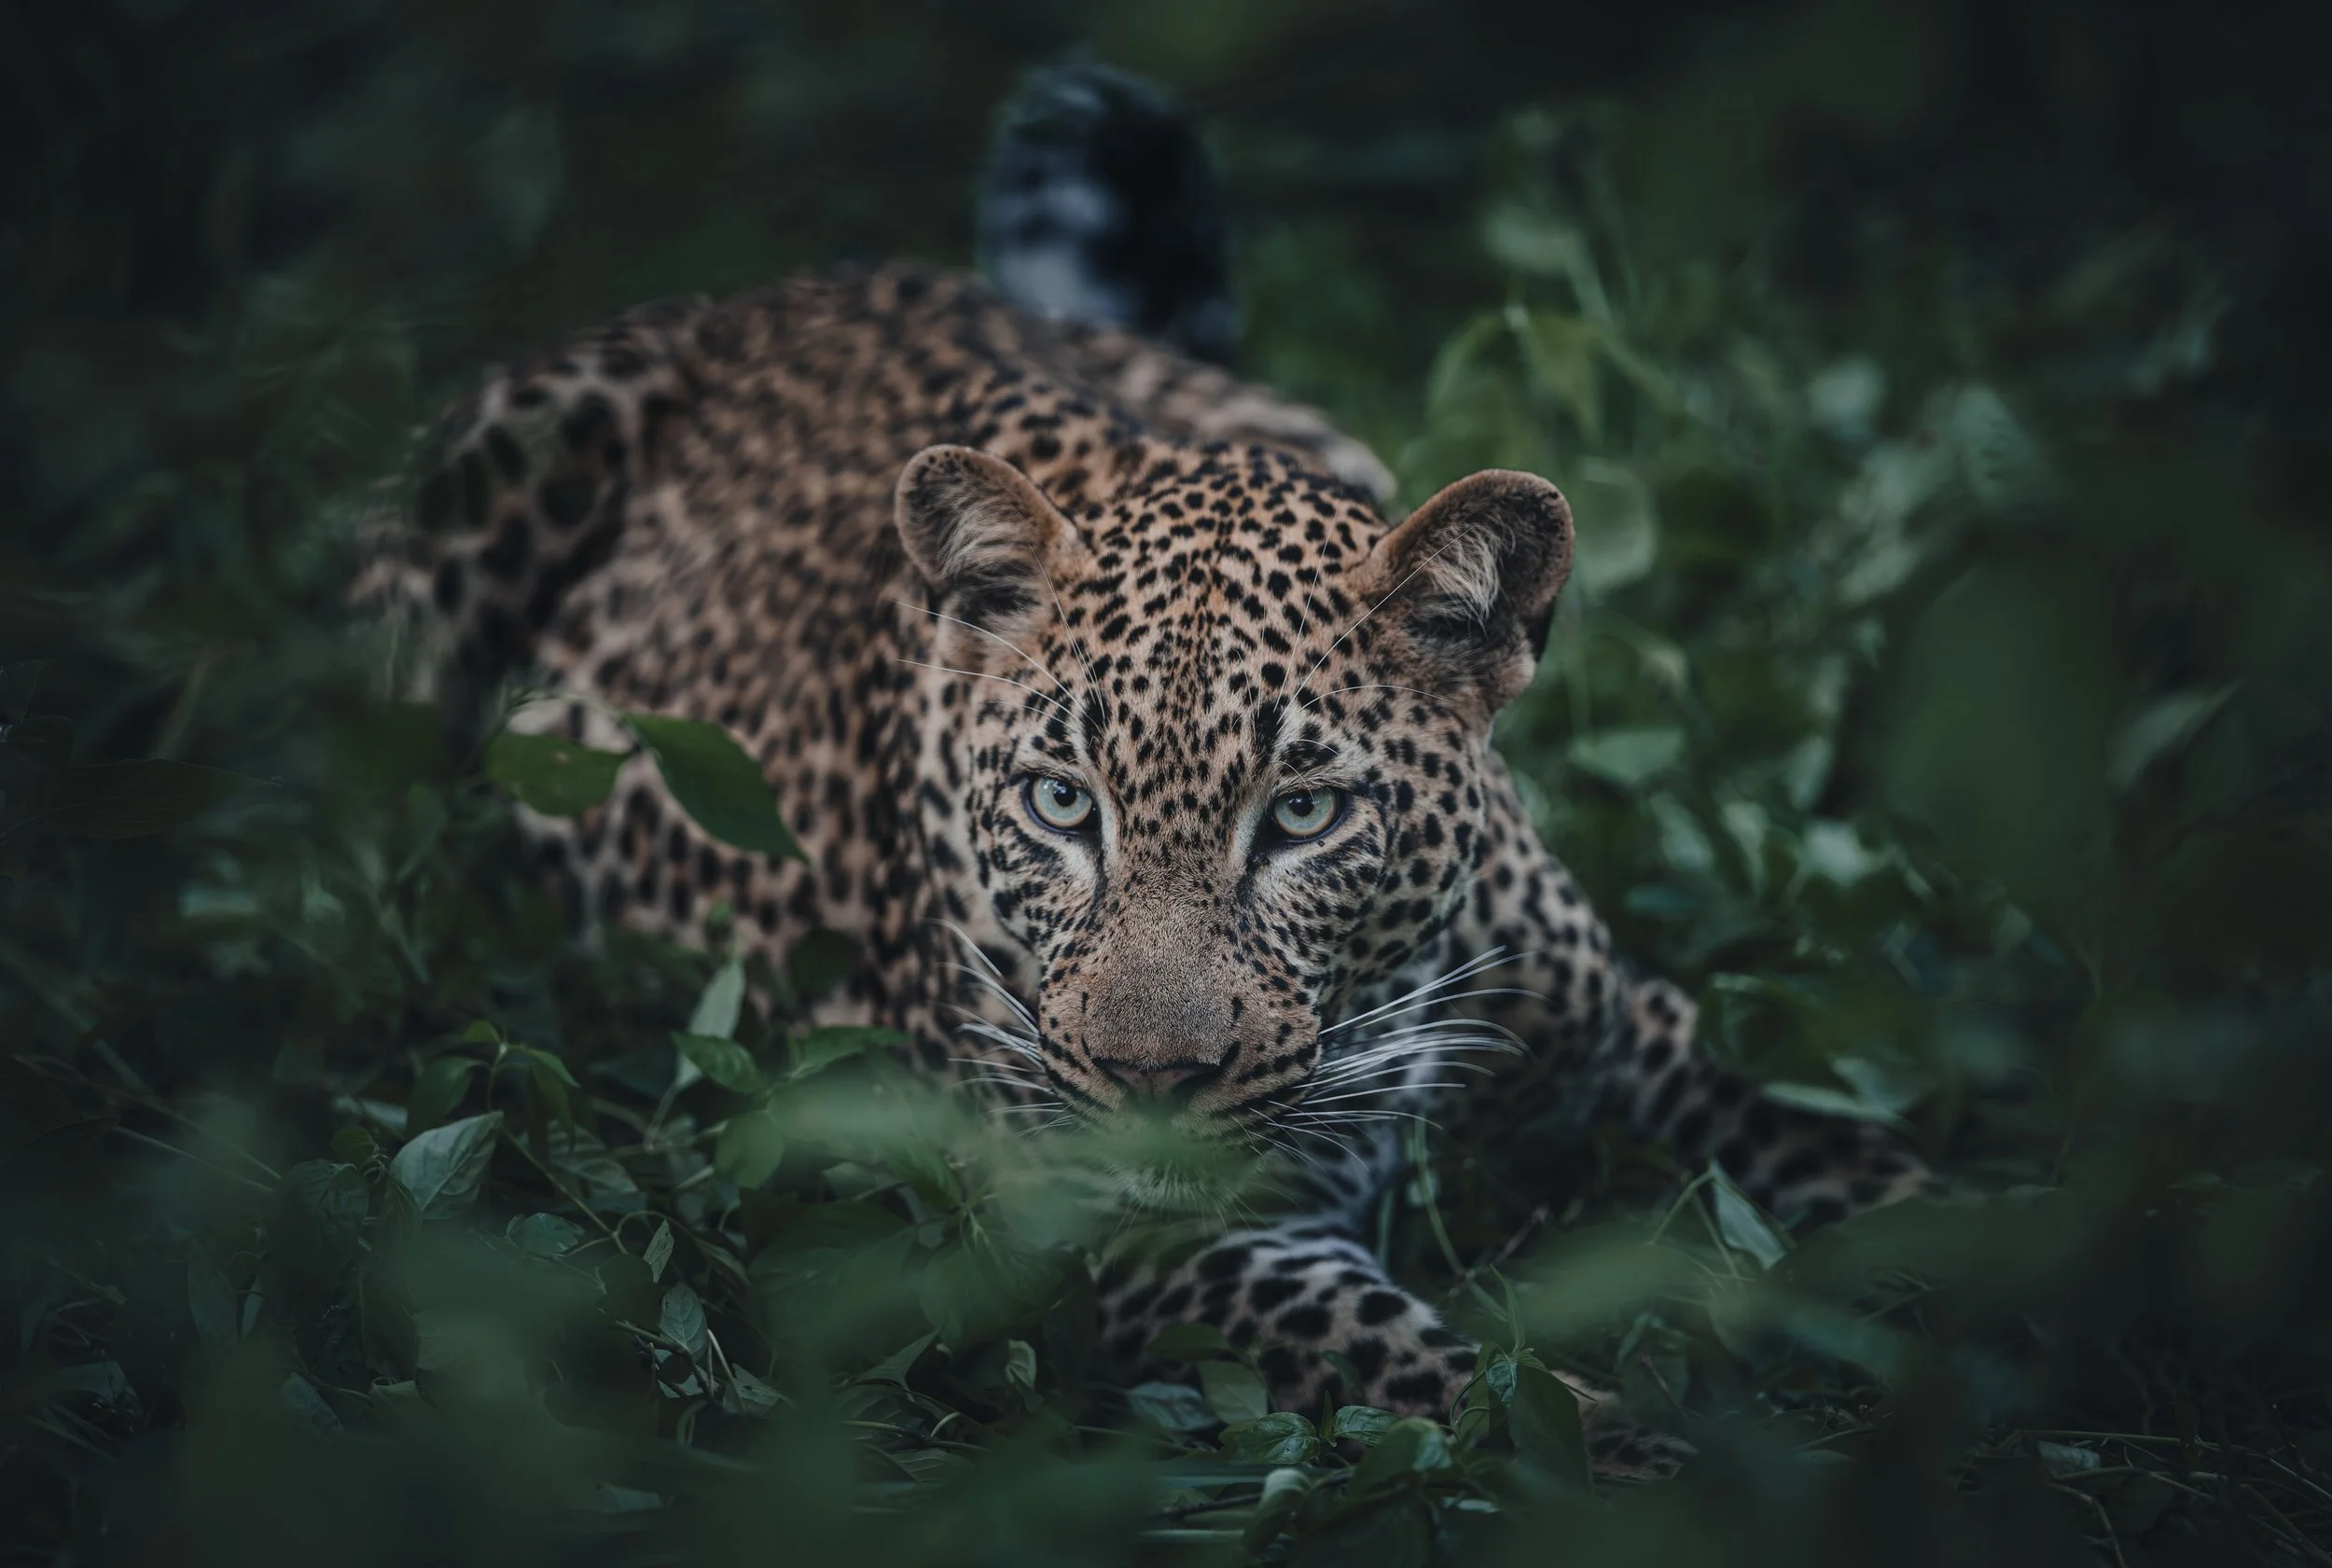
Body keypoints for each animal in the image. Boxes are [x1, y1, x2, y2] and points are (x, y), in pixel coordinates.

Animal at [361, 64, 1934, 1476]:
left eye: (1302, 815)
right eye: (1064, 803)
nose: (1150, 1078)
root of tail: (783, 289)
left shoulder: (1632, 1037)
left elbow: (1842, 1143)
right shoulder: (1135, 1244)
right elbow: (1447, 1380)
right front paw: (1646, 1454)